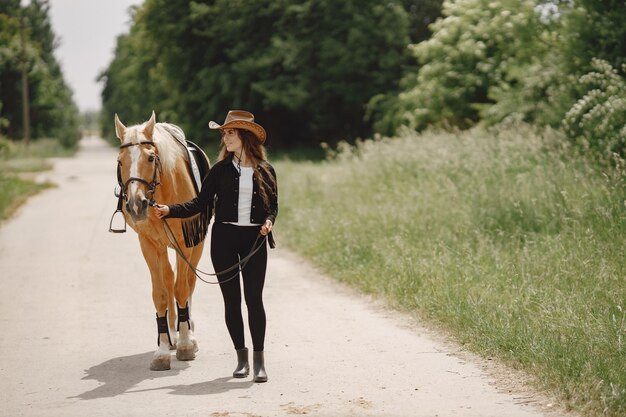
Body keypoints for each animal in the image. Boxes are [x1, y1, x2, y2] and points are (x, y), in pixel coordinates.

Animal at [112, 111, 210, 370]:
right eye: (120, 160)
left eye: (150, 157)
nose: (136, 205)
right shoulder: (149, 244)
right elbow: (161, 293)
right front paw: (163, 350)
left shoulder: (185, 243)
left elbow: (183, 288)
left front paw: (186, 344)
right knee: (169, 280)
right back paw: (173, 334)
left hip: (194, 245)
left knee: (187, 282)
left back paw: (188, 335)